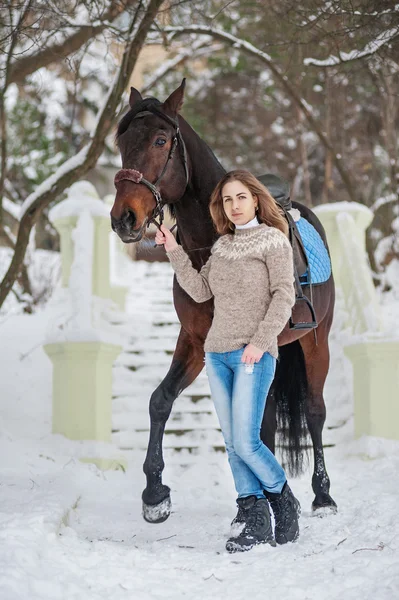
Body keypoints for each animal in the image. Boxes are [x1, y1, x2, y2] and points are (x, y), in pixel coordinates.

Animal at [110, 81, 338, 524]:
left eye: (160, 140)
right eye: (123, 143)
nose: (123, 218)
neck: (214, 246)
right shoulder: (197, 341)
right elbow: (160, 400)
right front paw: (155, 494)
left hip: (316, 341)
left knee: (314, 410)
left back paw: (322, 495)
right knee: (266, 419)